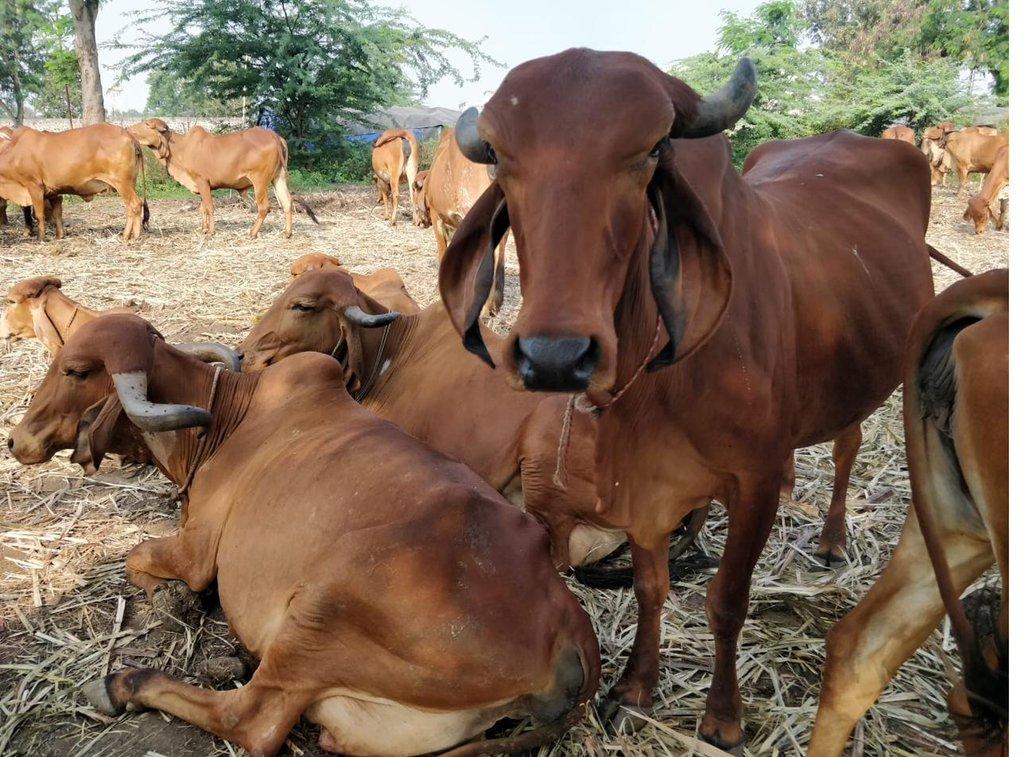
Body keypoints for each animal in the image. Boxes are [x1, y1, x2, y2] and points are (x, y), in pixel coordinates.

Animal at [0, 124, 147, 241]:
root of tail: (128, 135)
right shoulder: (54, 191)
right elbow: (57, 214)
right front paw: (59, 236)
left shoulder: (34, 186)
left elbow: (39, 215)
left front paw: (40, 238)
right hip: (130, 183)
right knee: (131, 207)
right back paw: (131, 234)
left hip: (122, 183)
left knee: (135, 204)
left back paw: (130, 236)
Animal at [7, 313, 600, 756]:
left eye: (76, 370)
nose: (16, 440)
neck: (223, 420)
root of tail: (572, 630)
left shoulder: (198, 550)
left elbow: (137, 557)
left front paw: (174, 601)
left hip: (321, 610)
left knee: (252, 719)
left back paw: (123, 683)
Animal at [129, 119, 317, 239]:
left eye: (147, 124)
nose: (129, 130)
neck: (179, 149)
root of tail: (275, 137)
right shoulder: (201, 186)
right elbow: (202, 209)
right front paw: (204, 229)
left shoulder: (202, 181)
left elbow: (210, 208)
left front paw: (211, 232)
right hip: (278, 178)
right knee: (287, 203)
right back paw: (287, 233)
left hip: (260, 180)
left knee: (264, 207)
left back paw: (253, 233)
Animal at [436, 49, 954, 750]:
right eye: (498, 157)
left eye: (653, 150)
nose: (554, 356)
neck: (661, 385)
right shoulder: (645, 490)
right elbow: (651, 589)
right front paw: (634, 685)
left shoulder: (752, 482)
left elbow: (727, 601)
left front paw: (724, 717)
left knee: (848, 445)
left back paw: (832, 538)